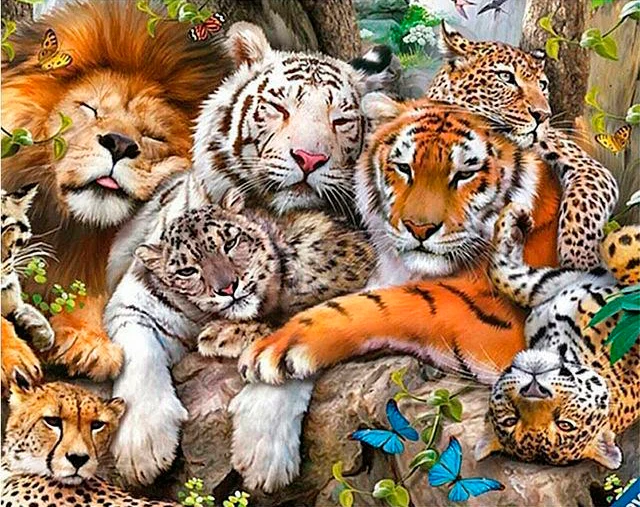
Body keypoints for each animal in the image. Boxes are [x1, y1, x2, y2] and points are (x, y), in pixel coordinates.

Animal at [1, 0, 232, 381]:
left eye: (153, 135)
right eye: (89, 108)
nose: (120, 144)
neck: (72, 227)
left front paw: (88, 340)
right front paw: (13, 355)